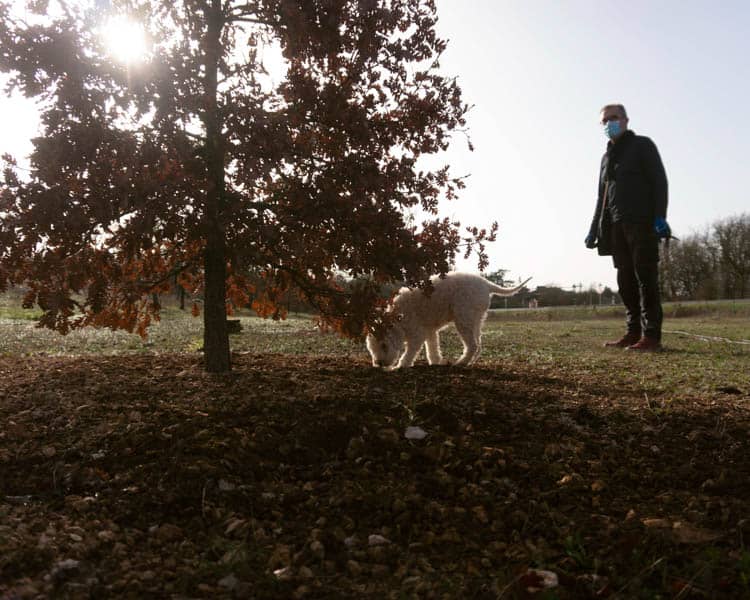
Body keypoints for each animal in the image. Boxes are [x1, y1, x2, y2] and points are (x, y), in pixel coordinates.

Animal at [368, 270, 532, 366]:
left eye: (384, 345)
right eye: (372, 349)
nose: (379, 363)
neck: (396, 316)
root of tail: (486, 283)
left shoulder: (417, 333)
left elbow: (410, 352)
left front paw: (401, 366)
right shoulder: (429, 331)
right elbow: (432, 348)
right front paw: (435, 362)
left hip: (463, 318)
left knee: (473, 346)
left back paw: (460, 363)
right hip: (476, 319)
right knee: (478, 345)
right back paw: (468, 363)